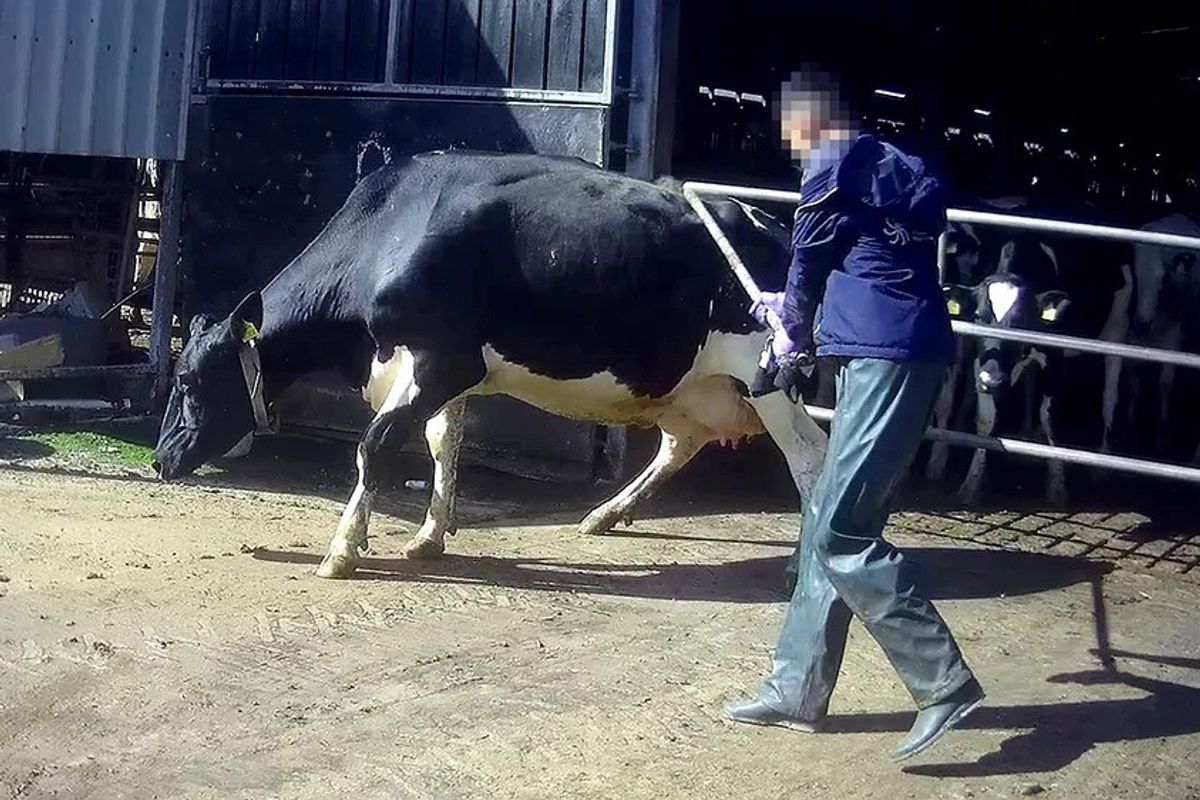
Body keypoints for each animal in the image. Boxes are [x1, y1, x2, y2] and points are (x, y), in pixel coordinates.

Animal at [152, 151, 829, 579]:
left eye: (185, 380)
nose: (159, 460)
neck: (393, 232)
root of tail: (770, 225)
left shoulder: (441, 359)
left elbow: (376, 444)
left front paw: (344, 548)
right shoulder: (439, 372)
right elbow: (442, 441)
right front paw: (428, 535)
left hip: (766, 377)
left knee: (809, 456)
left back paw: (803, 560)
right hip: (695, 386)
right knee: (681, 442)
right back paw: (606, 514)